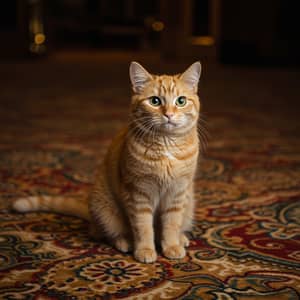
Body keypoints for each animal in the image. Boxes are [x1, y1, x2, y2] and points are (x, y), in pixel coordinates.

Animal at [12, 61, 203, 262]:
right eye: (155, 101)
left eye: (180, 101)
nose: (169, 115)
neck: (166, 148)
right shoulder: (138, 195)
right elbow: (143, 227)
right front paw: (144, 250)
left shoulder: (177, 194)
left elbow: (171, 225)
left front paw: (172, 246)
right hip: (106, 212)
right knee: (106, 234)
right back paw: (124, 242)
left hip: (188, 203)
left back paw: (181, 239)